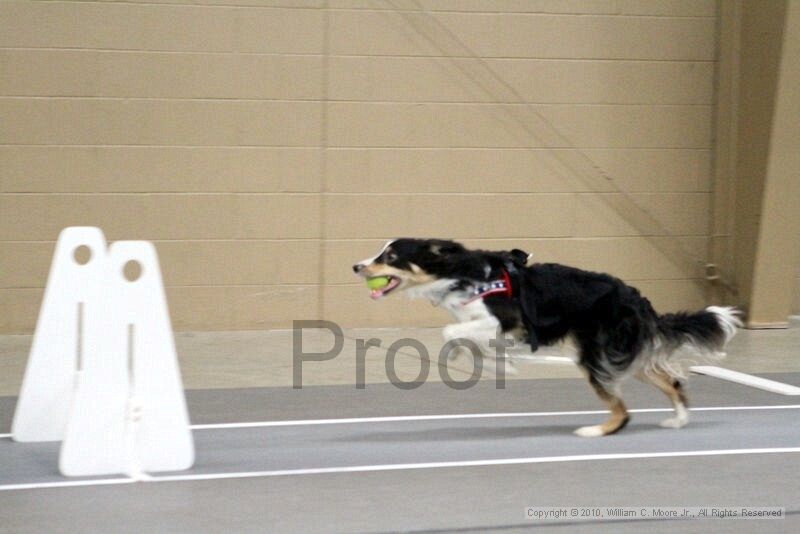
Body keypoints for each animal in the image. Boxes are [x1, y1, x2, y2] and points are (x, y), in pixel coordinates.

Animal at [354, 240, 740, 440]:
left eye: (390, 256)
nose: (356, 266)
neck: (459, 273)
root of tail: (638, 300)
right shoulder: (485, 325)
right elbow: (471, 341)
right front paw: (495, 362)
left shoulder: (502, 320)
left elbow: (450, 333)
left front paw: (473, 359)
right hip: (624, 355)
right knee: (671, 381)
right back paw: (679, 421)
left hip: (595, 356)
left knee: (623, 410)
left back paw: (596, 431)